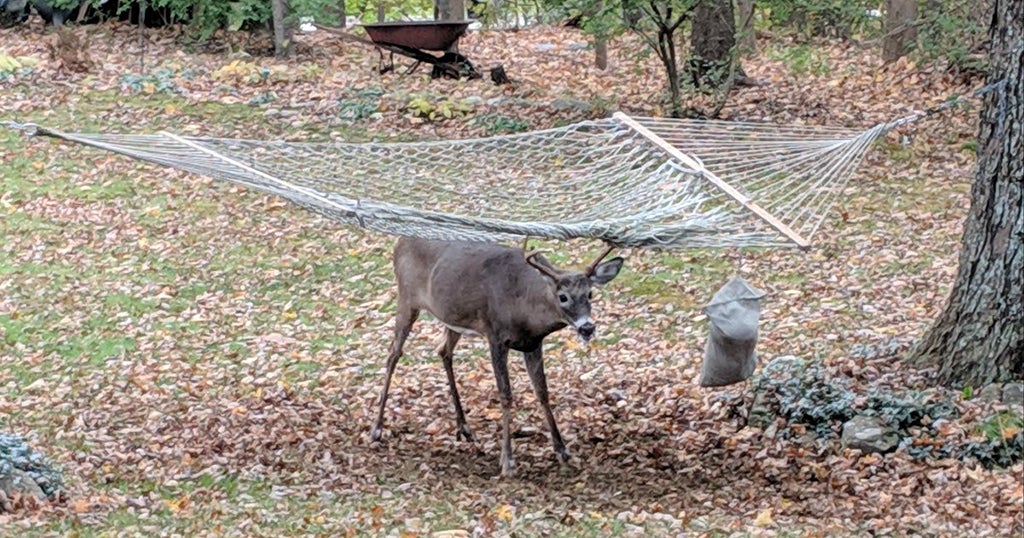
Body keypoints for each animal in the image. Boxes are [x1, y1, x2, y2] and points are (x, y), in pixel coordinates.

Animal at [371, 237, 625, 477]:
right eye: (562, 297)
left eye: (590, 294)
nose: (587, 328)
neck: (524, 305)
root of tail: (400, 241)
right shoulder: (495, 335)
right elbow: (505, 394)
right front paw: (508, 461)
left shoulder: (533, 343)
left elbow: (542, 392)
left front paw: (562, 451)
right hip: (406, 298)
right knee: (393, 354)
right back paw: (377, 429)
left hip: (452, 317)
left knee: (443, 350)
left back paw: (464, 428)